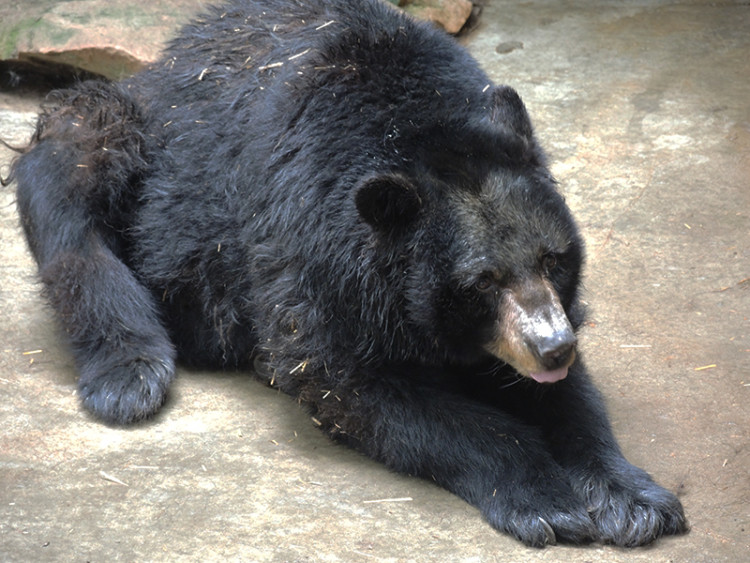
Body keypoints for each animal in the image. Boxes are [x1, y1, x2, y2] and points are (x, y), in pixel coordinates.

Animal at [7, 0, 688, 552]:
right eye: (482, 282)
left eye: (554, 258)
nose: (553, 348)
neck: (411, 125)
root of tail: (168, 53)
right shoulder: (310, 258)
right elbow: (358, 384)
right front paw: (549, 501)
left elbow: (572, 400)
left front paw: (634, 499)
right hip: (135, 141)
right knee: (74, 170)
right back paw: (129, 372)